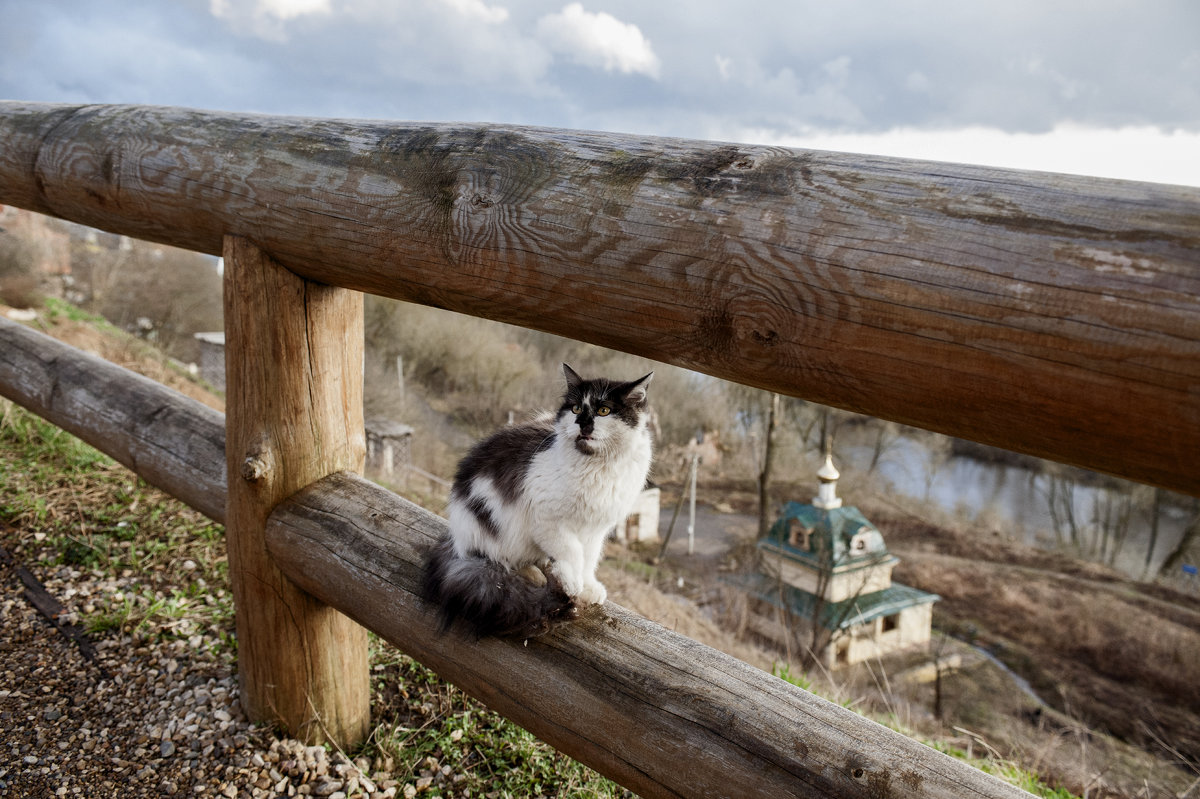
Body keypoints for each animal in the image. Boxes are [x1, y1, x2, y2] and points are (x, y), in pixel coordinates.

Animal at [427, 364, 657, 633]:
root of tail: (455, 539)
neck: (597, 466)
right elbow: (573, 552)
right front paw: (572, 584)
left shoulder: (596, 529)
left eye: (603, 410)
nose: (582, 424)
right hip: (493, 528)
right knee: (501, 558)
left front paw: (588, 587)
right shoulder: (548, 519)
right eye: (576, 409)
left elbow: (589, 559)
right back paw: (535, 572)